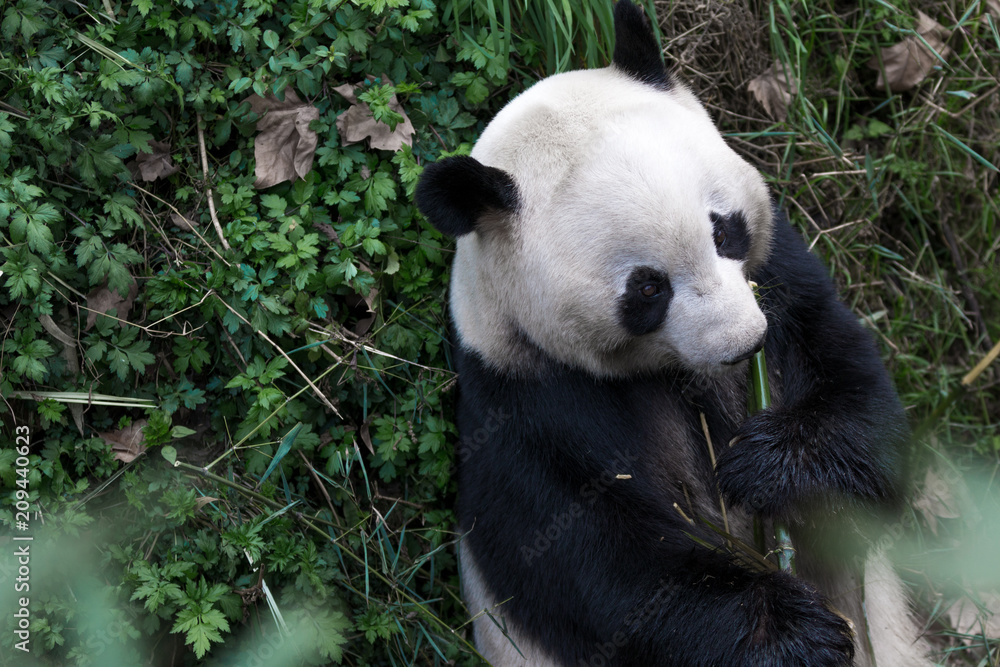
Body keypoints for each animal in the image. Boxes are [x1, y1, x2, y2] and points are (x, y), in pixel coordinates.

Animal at [412, 2, 928, 664]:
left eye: (724, 230)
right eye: (647, 289)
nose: (743, 345)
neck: (675, 373)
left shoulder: (784, 285)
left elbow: (862, 406)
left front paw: (768, 466)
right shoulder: (522, 400)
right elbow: (602, 568)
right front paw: (792, 635)